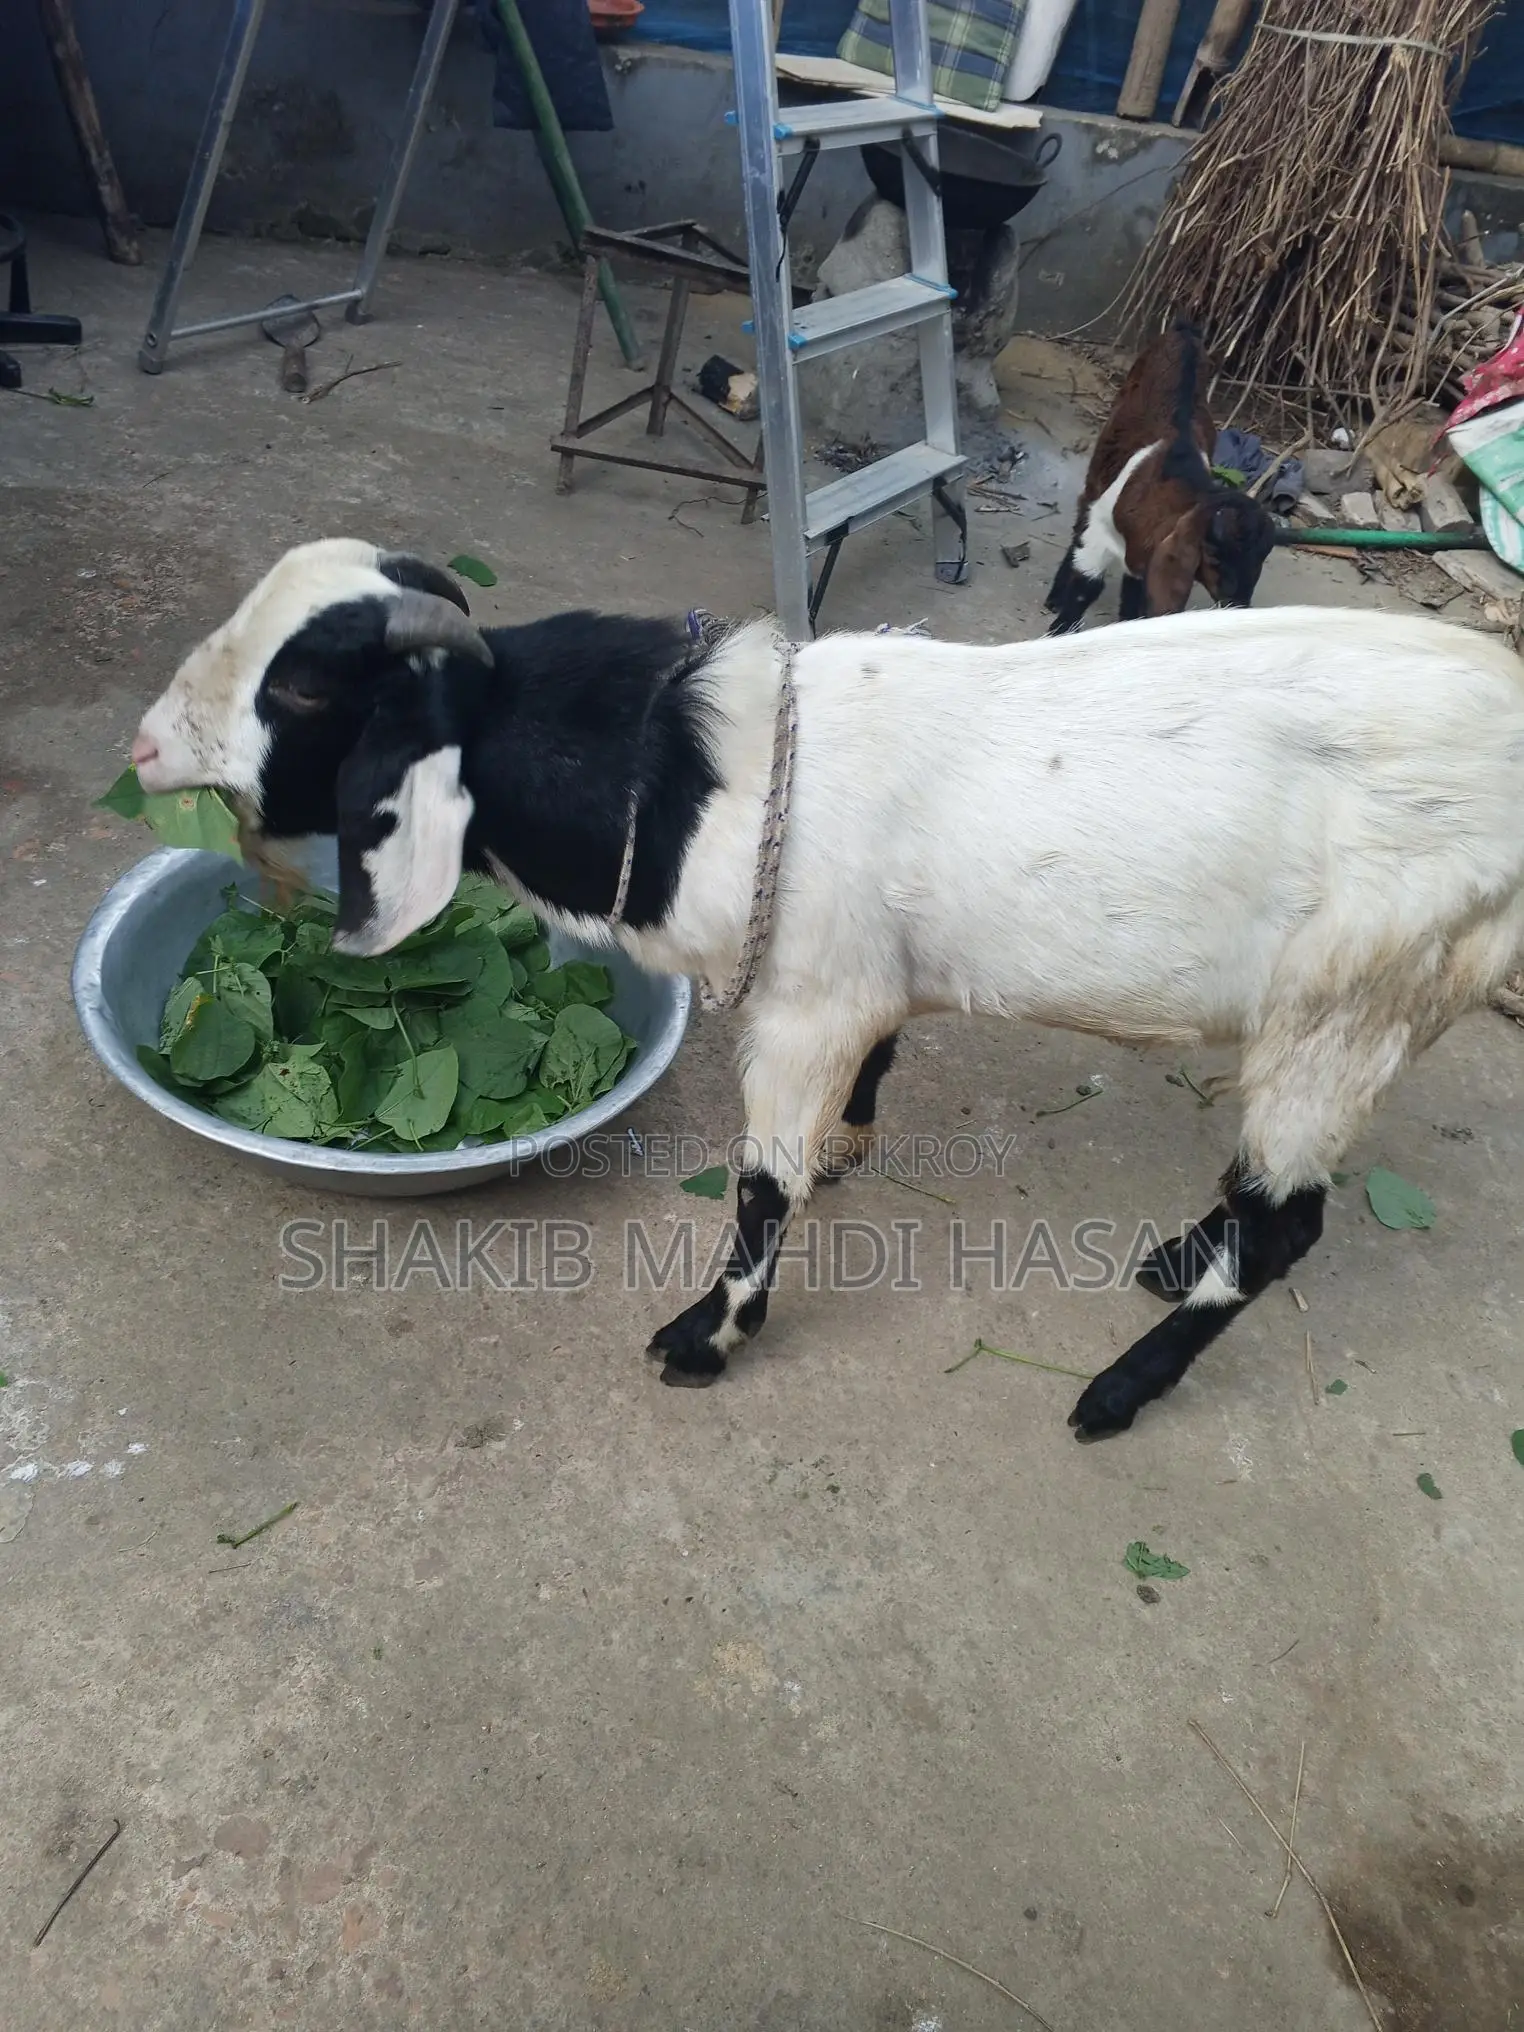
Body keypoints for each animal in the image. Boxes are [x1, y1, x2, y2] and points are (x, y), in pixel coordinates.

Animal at [132, 539, 1524, 1440]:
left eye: (307, 682)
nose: (144, 745)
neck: (694, 776)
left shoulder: (801, 1009)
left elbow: (761, 1189)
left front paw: (705, 1339)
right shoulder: (862, 989)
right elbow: (873, 1071)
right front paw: (854, 1140)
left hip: (1350, 1001)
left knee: (1286, 1226)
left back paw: (1116, 1391)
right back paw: (1182, 1252)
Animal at [1045, 319, 1275, 634]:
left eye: (1259, 561)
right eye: (1215, 555)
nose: (1237, 604)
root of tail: (1185, 331)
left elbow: (1136, 594)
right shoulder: (1100, 533)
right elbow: (1085, 586)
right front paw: (1060, 631)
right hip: (1099, 469)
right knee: (1082, 514)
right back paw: (1054, 596)